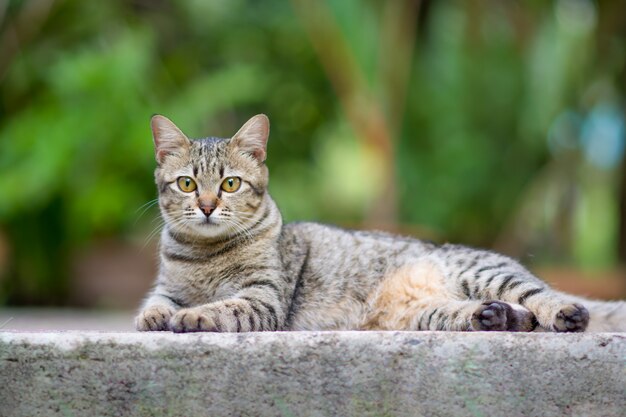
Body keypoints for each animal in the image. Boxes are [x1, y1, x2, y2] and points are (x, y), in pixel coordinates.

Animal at [135, 115, 624, 334]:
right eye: (187, 183)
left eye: (231, 184)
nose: (206, 206)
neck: (205, 255)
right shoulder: (167, 285)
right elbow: (155, 302)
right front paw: (157, 317)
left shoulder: (262, 299)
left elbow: (222, 307)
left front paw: (192, 315)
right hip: (428, 315)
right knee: (509, 316)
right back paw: (496, 317)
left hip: (487, 274)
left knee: (543, 299)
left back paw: (564, 313)